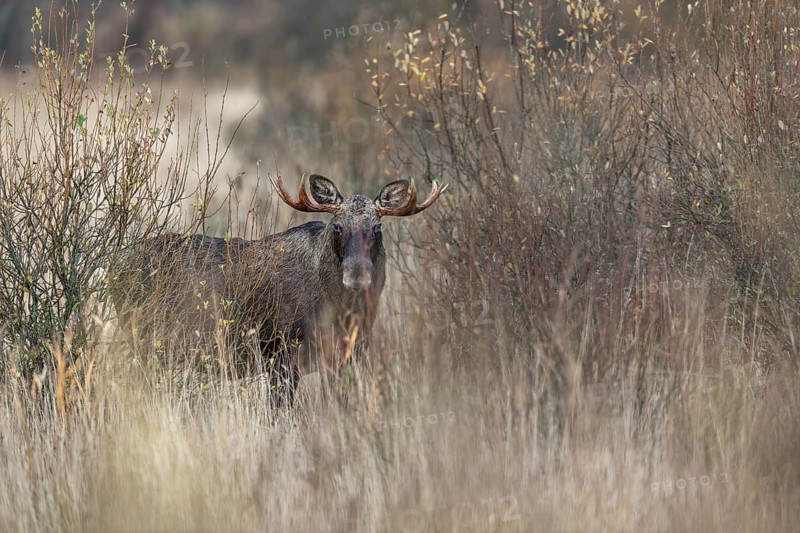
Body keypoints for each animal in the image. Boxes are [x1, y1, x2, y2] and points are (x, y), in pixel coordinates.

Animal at [112, 174, 447, 403]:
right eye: (337, 227)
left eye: (377, 228)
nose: (356, 277)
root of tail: (116, 267)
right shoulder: (280, 350)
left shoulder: (345, 357)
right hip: (142, 336)